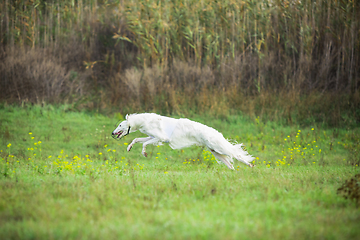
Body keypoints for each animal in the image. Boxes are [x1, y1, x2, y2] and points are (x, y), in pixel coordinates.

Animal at [111, 113, 255, 168]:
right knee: (231, 164)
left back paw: (250, 165)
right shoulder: (153, 137)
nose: (112, 133)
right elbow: (136, 139)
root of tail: (216, 132)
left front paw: (144, 153)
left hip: (219, 147)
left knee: (237, 155)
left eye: (119, 125)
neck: (143, 120)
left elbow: (144, 144)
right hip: (215, 152)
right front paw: (129, 147)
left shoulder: (161, 138)